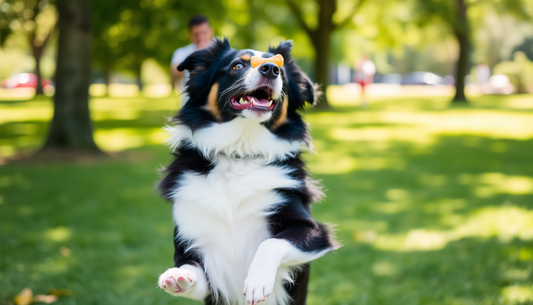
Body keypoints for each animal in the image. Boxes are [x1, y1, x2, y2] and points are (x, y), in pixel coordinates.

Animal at [156, 38, 336, 304]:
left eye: (281, 71)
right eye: (237, 65)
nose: (270, 69)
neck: (240, 154)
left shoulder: (312, 230)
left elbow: (271, 243)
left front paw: (257, 281)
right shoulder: (191, 243)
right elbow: (191, 269)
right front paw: (178, 277)